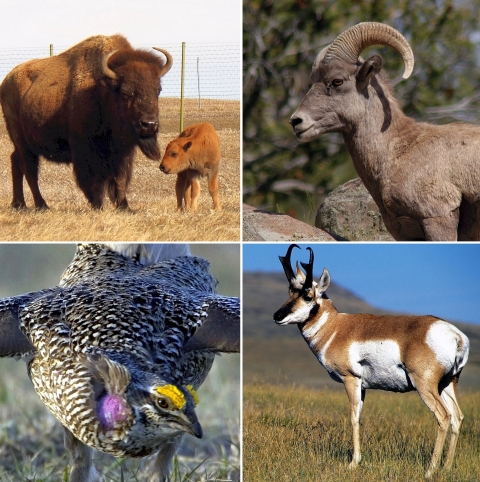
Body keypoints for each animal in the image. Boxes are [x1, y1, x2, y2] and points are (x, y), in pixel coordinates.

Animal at [0, 34, 172, 207]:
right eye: (125, 92)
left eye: (158, 90)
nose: (149, 124)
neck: (104, 91)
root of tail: (6, 81)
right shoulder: (85, 150)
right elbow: (93, 181)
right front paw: (98, 205)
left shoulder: (123, 152)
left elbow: (120, 178)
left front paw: (125, 206)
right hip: (21, 140)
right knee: (29, 170)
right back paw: (42, 205)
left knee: (16, 162)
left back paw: (19, 204)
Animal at [274, 245, 468, 478]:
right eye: (290, 292)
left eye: (308, 296)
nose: (277, 316)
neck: (336, 328)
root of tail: (455, 334)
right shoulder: (364, 386)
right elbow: (359, 417)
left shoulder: (351, 380)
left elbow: (353, 418)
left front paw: (353, 463)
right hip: (447, 384)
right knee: (457, 417)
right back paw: (446, 467)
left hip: (425, 386)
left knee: (444, 416)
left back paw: (430, 470)